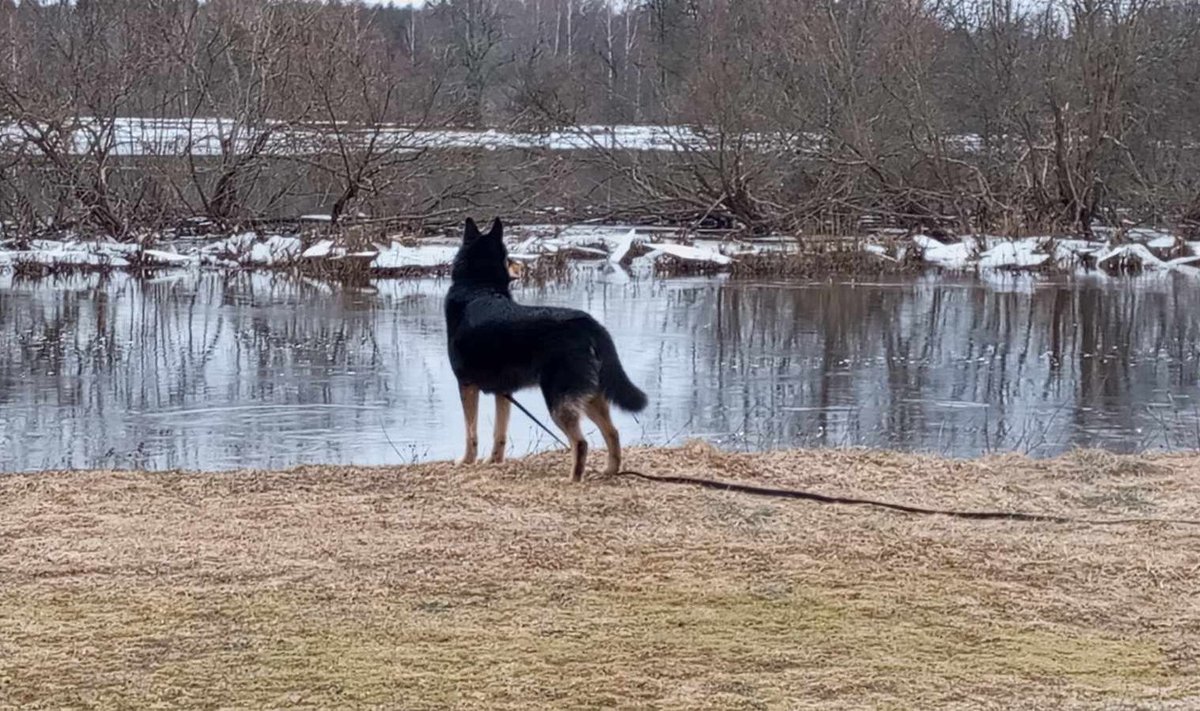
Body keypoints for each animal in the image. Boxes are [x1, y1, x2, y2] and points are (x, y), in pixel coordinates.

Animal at [444, 216, 648, 480]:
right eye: (508, 256)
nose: (520, 265)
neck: (477, 287)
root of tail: (587, 323)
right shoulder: (504, 392)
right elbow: (499, 433)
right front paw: (494, 461)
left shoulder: (466, 385)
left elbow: (471, 432)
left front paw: (467, 461)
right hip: (589, 395)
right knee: (612, 432)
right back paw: (609, 471)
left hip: (558, 397)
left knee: (580, 443)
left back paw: (572, 479)